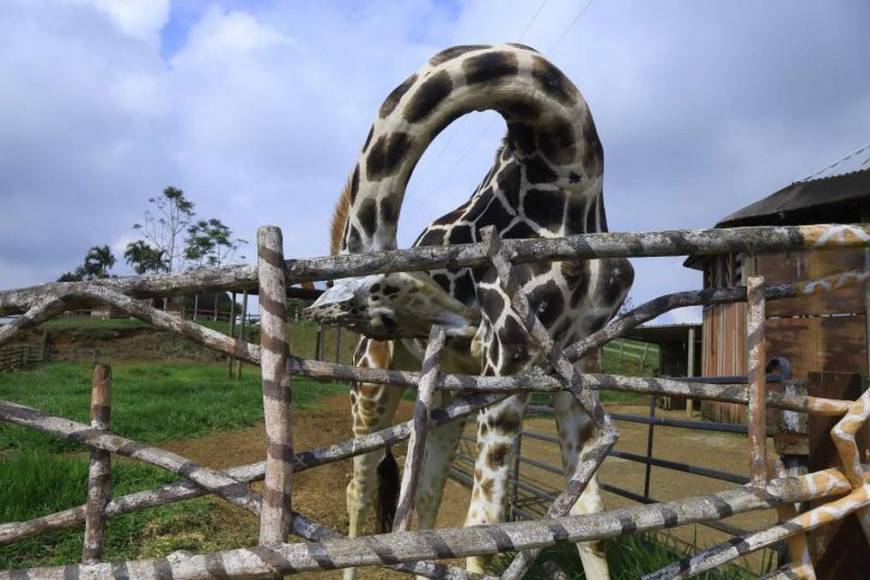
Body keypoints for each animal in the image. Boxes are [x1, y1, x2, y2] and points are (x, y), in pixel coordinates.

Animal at [309, 43, 633, 578]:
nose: (469, 327)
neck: (567, 167)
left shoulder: (577, 358)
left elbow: (592, 522)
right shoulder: (511, 356)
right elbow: (484, 530)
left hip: (448, 392)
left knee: (424, 500)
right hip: (373, 382)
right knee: (362, 485)